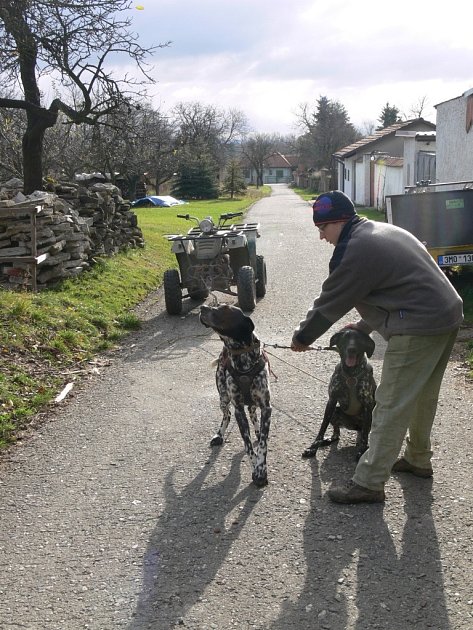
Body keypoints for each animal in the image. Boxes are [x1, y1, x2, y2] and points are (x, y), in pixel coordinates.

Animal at [199, 306, 272, 488]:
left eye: (224, 309)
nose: (202, 308)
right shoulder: (239, 409)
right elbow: (248, 446)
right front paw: (255, 469)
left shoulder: (266, 407)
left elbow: (263, 445)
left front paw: (261, 470)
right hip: (223, 398)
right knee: (227, 414)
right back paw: (219, 435)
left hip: (253, 404)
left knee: (253, 414)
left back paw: (257, 431)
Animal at [302, 328, 376, 462]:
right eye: (345, 338)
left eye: (359, 339)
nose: (352, 349)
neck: (351, 373)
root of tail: (356, 427)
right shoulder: (331, 401)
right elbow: (322, 427)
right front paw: (313, 447)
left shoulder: (368, 405)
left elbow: (365, 437)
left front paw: (361, 451)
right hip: (336, 412)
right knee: (337, 434)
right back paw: (327, 440)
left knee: (365, 433)